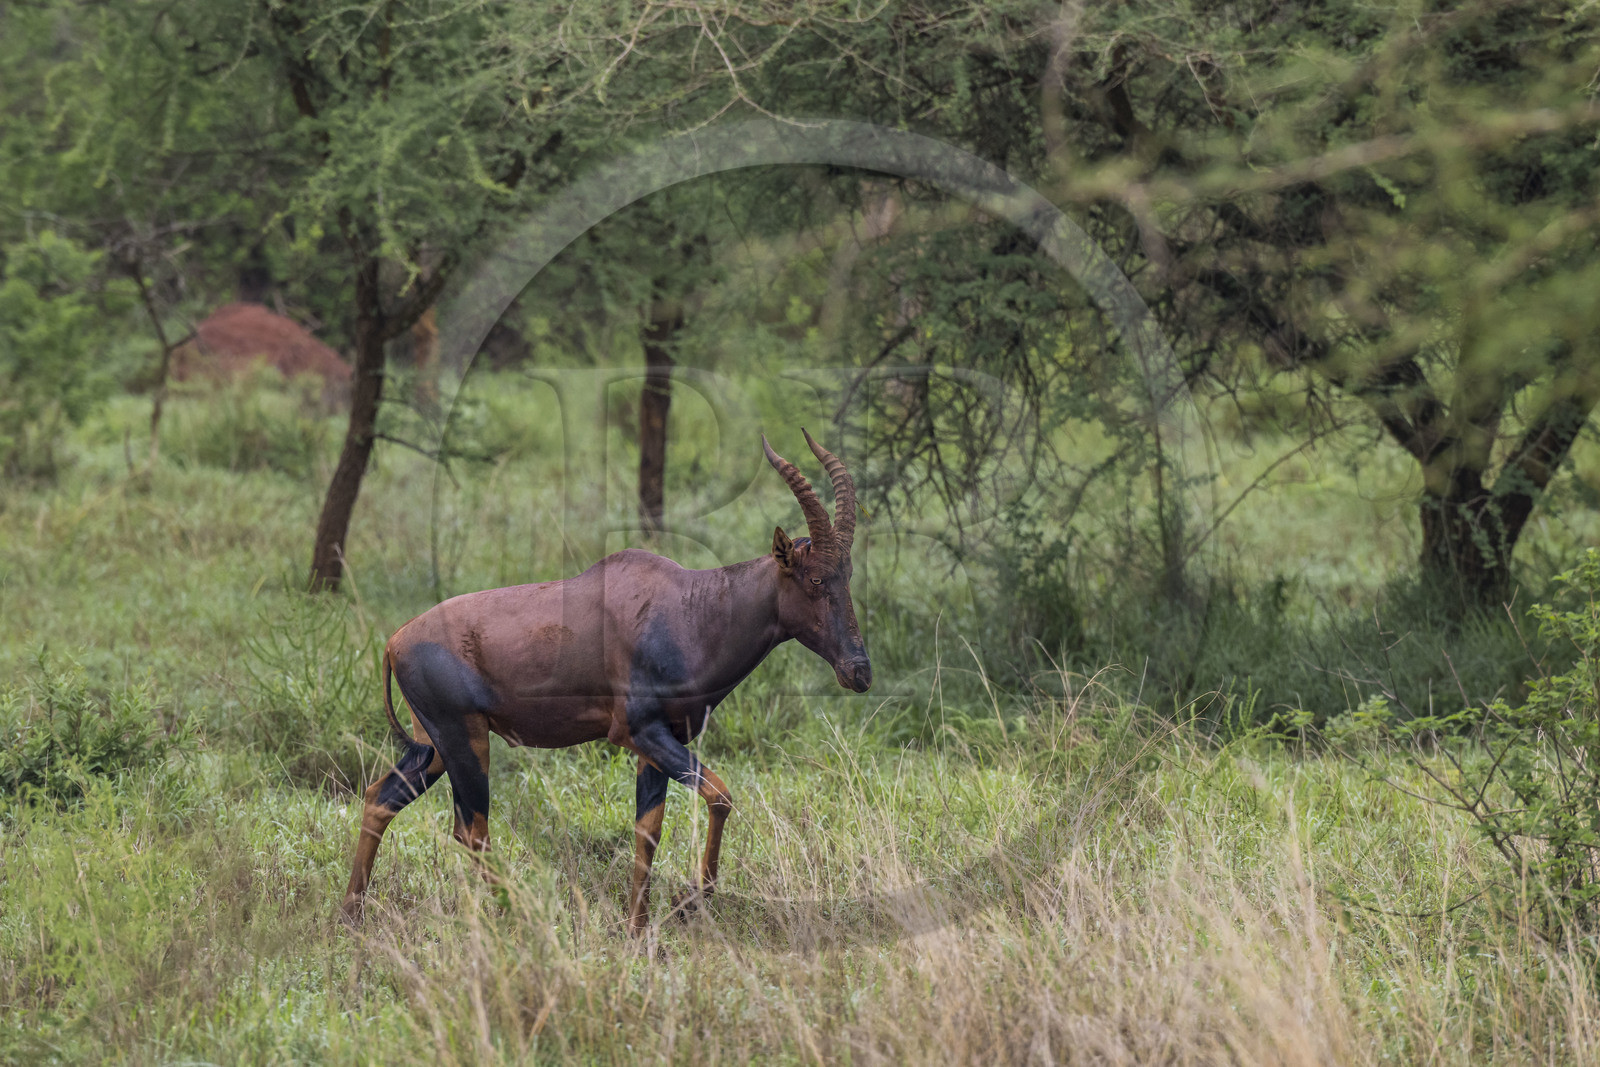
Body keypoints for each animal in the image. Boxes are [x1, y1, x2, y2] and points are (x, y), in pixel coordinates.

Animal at [342, 431, 871, 934]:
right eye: (815, 579)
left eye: (847, 575)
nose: (859, 672)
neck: (689, 609)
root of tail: (395, 640)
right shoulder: (637, 732)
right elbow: (720, 797)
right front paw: (688, 904)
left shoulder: (660, 742)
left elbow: (649, 828)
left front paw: (637, 928)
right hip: (464, 740)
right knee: (471, 830)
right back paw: (518, 919)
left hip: (432, 747)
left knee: (381, 800)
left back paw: (351, 915)